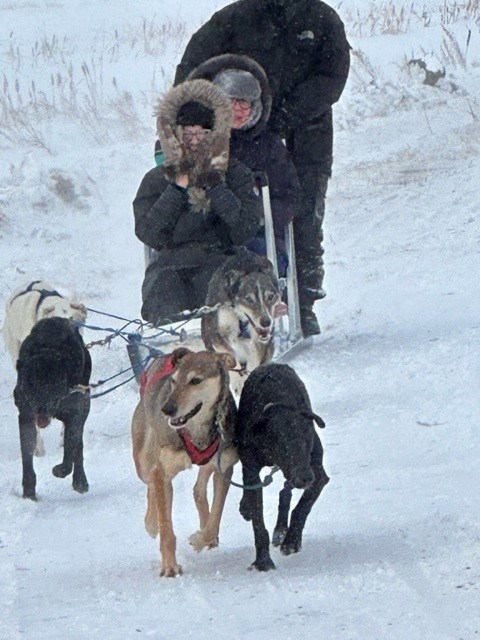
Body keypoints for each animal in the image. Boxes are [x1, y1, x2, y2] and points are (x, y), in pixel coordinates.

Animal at [13, 316, 92, 500]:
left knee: (78, 445)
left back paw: (80, 480)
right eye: (30, 387)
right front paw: (29, 493)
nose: (40, 410)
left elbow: (71, 445)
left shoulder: (76, 411)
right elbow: (26, 455)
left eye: (51, 388)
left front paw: (61, 470)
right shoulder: (26, 416)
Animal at [130, 348, 237, 576]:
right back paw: (151, 522)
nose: (167, 409)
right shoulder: (162, 473)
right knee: (150, 485)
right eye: (173, 381)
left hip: (208, 464)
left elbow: (215, 519)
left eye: (195, 380)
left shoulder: (224, 468)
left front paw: (201, 538)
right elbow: (166, 530)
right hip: (143, 462)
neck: (195, 432)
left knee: (198, 489)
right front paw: (170, 567)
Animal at [200, 250, 280, 390]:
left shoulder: (261, 343)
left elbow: (255, 358)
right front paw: (237, 379)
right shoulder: (215, 334)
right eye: (249, 299)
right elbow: (230, 354)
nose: (266, 322)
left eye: (270, 297)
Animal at [236, 364, 330, 568]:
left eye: (307, 439)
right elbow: (258, 521)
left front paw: (292, 540)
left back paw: (281, 531)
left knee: (285, 492)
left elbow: (302, 507)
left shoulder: (318, 475)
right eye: (282, 445)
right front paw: (263, 561)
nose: (304, 478)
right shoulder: (251, 470)